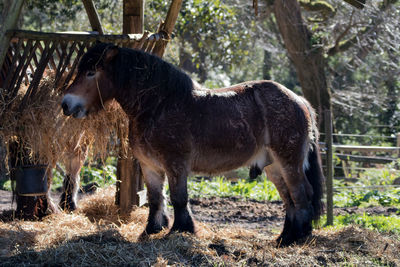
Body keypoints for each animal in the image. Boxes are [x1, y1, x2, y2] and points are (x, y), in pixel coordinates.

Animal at [62, 43, 324, 247]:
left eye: (91, 72)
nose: (66, 104)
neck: (158, 105)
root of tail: (299, 100)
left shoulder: (176, 164)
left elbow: (179, 198)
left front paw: (181, 230)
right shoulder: (150, 166)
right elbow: (156, 199)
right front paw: (150, 231)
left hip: (289, 162)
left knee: (301, 194)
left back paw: (297, 237)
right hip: (273, 166)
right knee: (289, 198)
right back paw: (284, 237)